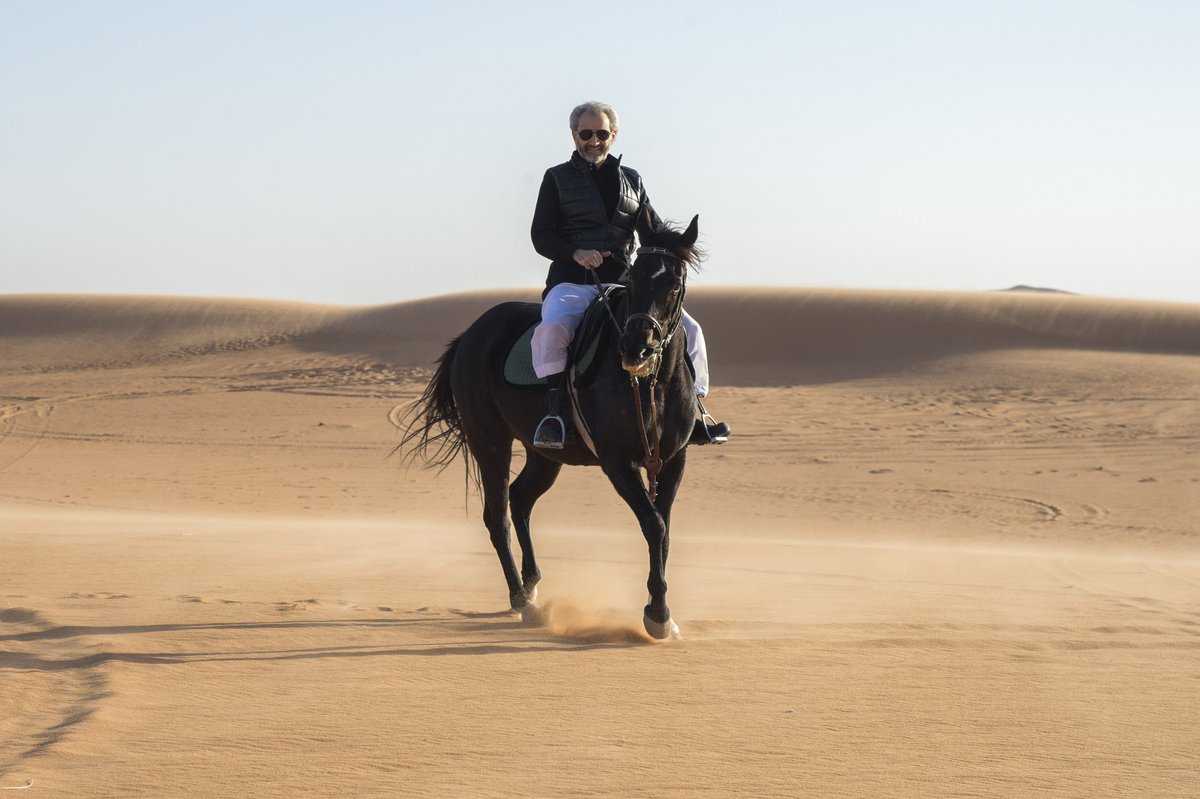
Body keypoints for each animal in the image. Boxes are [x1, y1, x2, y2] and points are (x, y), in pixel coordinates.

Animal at [403, 208, 700, 638]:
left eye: (674, 284)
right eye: (634, 280)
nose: (636, 349)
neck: (650, 384)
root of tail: (471, 334)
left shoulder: (673, 459)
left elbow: (663, 532)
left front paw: (660, 610)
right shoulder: (618, 462)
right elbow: (654, 525)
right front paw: (658, 615)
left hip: (544, 455)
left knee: (520, 499)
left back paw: (531, 584)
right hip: (489, 443)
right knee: (497, 516)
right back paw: (521, 600)